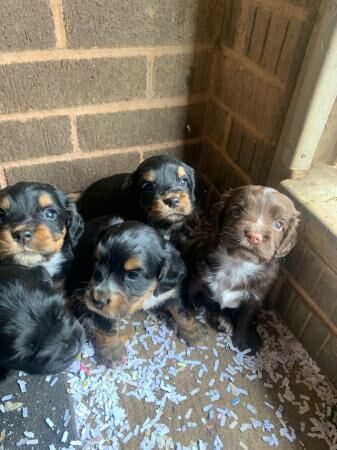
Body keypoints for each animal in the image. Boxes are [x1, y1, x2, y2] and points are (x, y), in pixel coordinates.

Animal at [67, 216, 205, 368]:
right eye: (97, 262)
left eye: (133, 275)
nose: (96, 301)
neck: (146, 294)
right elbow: (107, 327)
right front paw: (112, 352)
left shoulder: (171, 290)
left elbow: (181, 311)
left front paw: (193, 331)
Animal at [186, 185, 300, 352]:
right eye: (236, 211)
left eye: (279, 225)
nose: (254, 236)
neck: (238, 264)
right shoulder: (198, 276)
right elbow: (187, 295)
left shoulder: (255, 298)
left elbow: (245, 319)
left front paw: (242, 340)